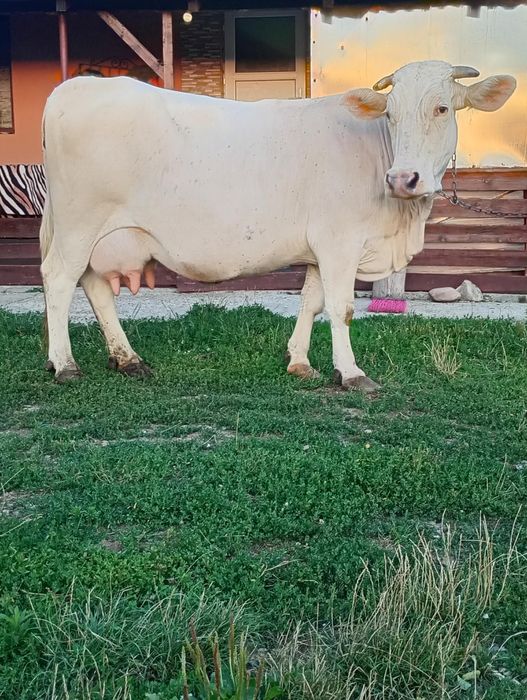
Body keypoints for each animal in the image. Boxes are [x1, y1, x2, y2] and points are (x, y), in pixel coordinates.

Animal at [39, 60, 515, 390]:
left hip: (95, 232)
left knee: (94, 286)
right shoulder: (340, 242)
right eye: (391, 115)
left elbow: (311, 303)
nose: (403, 179)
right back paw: (64, 365)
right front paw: (351, 373)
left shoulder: (319, 248)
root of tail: (72, 87)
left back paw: (127, 359)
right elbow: (341, 309)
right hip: (78, 224)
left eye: (442, 107)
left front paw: (300, 363)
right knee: (60, 279)